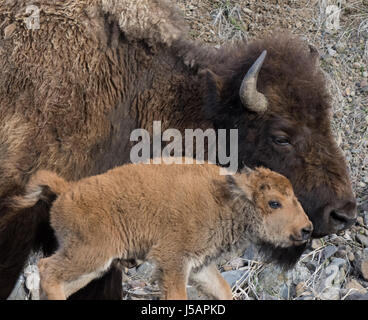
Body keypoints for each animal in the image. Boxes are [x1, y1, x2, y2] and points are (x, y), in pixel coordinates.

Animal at [12, 160, 312, 300]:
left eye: (295, 197)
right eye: (274, 202)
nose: (307, 229)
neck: (225, 199)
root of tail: (67, 190)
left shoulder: (199, 266)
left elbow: (223, 288)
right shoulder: (173, 263)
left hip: (94, 265)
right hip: (88, 254)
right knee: (47, 269)